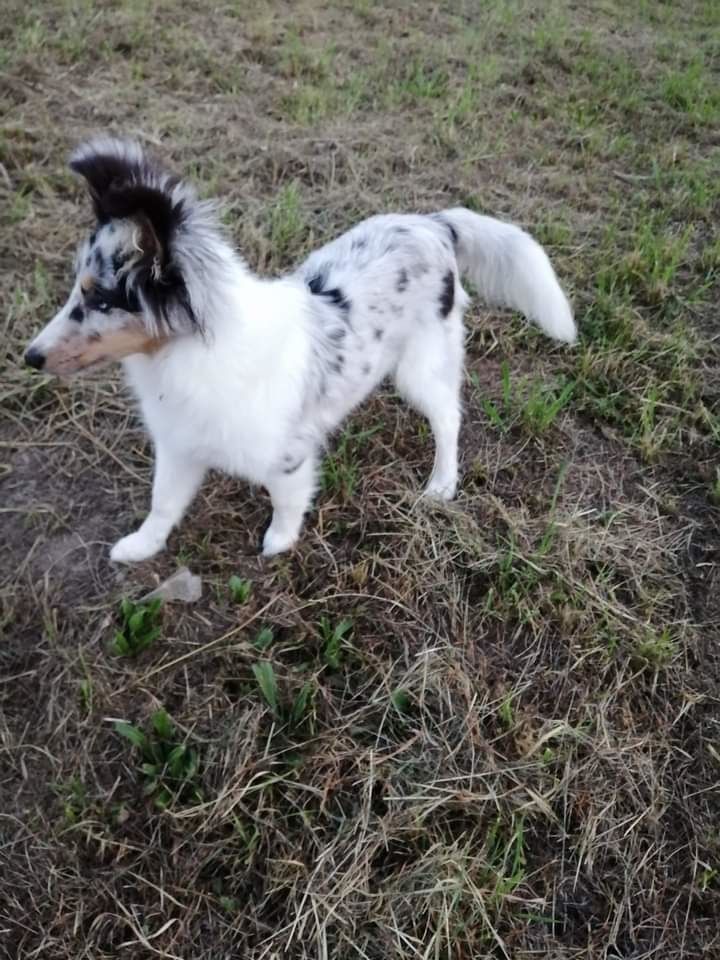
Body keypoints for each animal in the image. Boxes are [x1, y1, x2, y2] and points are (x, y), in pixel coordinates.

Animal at [22, 140, 572, 568]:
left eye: (99, 300)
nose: (30, 358)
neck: (185, 354)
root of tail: (433, 224)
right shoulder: (180, 447)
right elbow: (163, 504)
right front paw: (140, 547)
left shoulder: (286, 456)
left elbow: (286, 501)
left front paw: (278, 544)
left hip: (422, 364)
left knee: (448, 419)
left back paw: (441, 485)